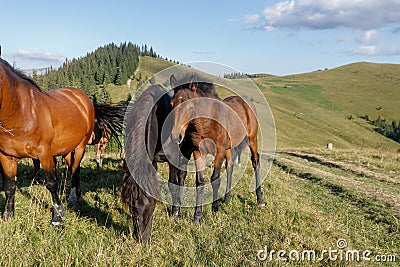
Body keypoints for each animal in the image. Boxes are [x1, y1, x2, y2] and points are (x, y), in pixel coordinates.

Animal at [0, 58, 123, 226]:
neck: (21, 112)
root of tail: (83, 99)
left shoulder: (45, 154)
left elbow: (52, 184)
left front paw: (57, 216)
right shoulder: (7, 157)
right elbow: (10, 186)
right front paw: (8, 215)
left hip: (80, 146)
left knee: (75, 169)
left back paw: (73, 197)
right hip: (66, 150)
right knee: (73, 167)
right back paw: (77, 193)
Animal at [121, 85, 193, 244]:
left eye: (151, 204)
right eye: (131, 206)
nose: (142, 241)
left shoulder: (173, 158)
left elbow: (174, 184)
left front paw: (175, 213)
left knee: (181, 177)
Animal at [170, 74, 266, 223]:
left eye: (190, 107)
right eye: (171, 104)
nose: (176, 136)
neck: (208, 123)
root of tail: (246, 104)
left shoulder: (219, 151)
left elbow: (215, 179)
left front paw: (214, 210)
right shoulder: (199, 152)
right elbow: (200, 181)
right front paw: (197, 216)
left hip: (252, 140)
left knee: (255, 161)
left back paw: (260, 199)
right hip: (229, 148)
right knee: (230, 167)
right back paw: (226, 200)